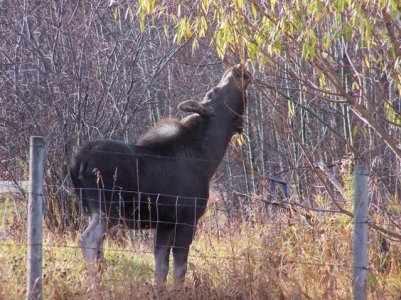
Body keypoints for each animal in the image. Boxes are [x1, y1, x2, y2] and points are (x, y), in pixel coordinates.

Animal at [69, 63, 250, 288]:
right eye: (213, 92)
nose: (238, 68)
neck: (208, 158)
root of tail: (76, 163)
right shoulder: (187, 219)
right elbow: (180, 269)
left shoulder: (164, 224)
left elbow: (160, 269)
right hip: (108, 208)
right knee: (88, 240)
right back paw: (96, 285)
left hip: (95, 210)